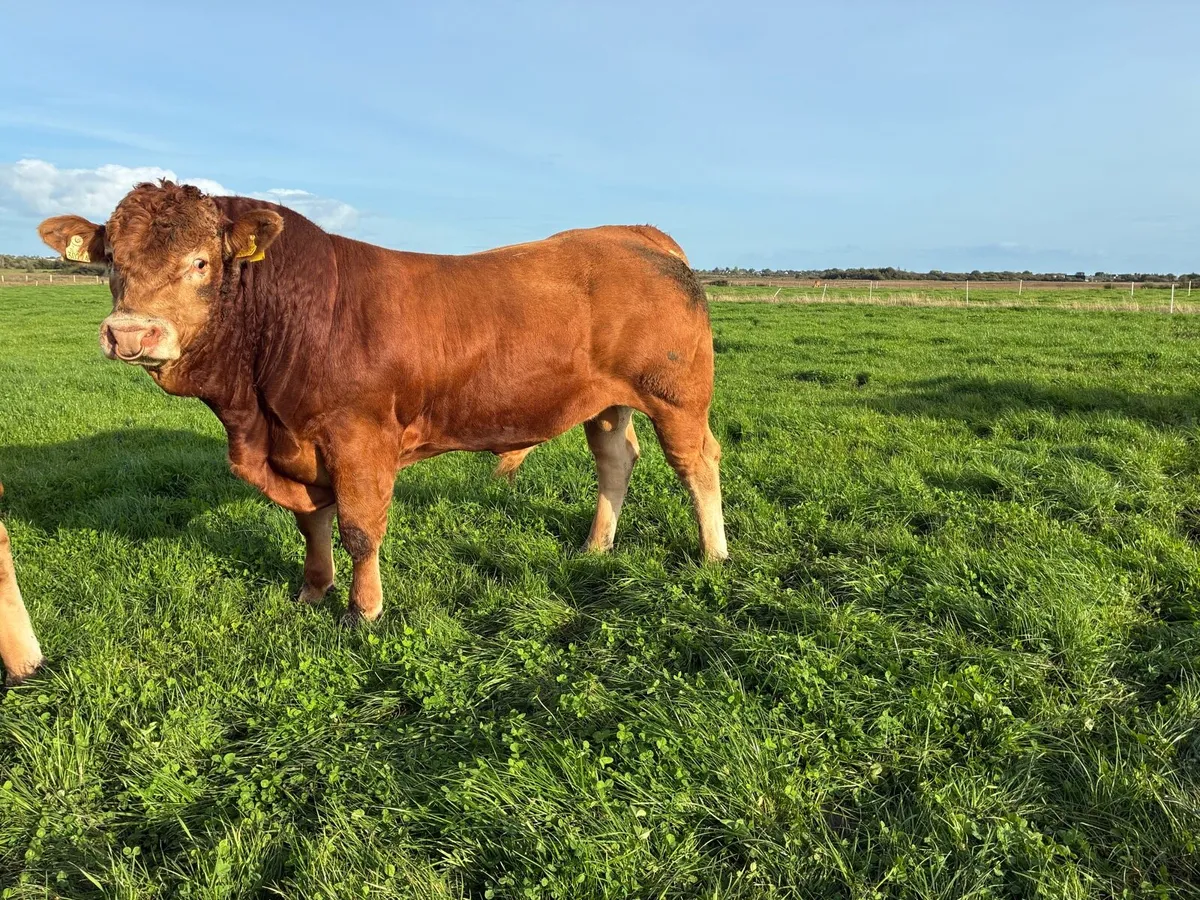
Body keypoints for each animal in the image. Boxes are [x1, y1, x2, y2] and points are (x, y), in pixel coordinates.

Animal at [38, 181, 728, 625]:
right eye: (112, 261)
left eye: (202, 261)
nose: (131, 333)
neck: (255, 410)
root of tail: (636, 233)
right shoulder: (298, 445)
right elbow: (312, 522)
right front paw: (313, 592)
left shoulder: (359, 439)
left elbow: (360, 529)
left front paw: (363, 610)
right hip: (605, 401)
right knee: (616, 459)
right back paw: (595, 547)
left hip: (677, 396)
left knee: (698, 464)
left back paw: (713, 554)